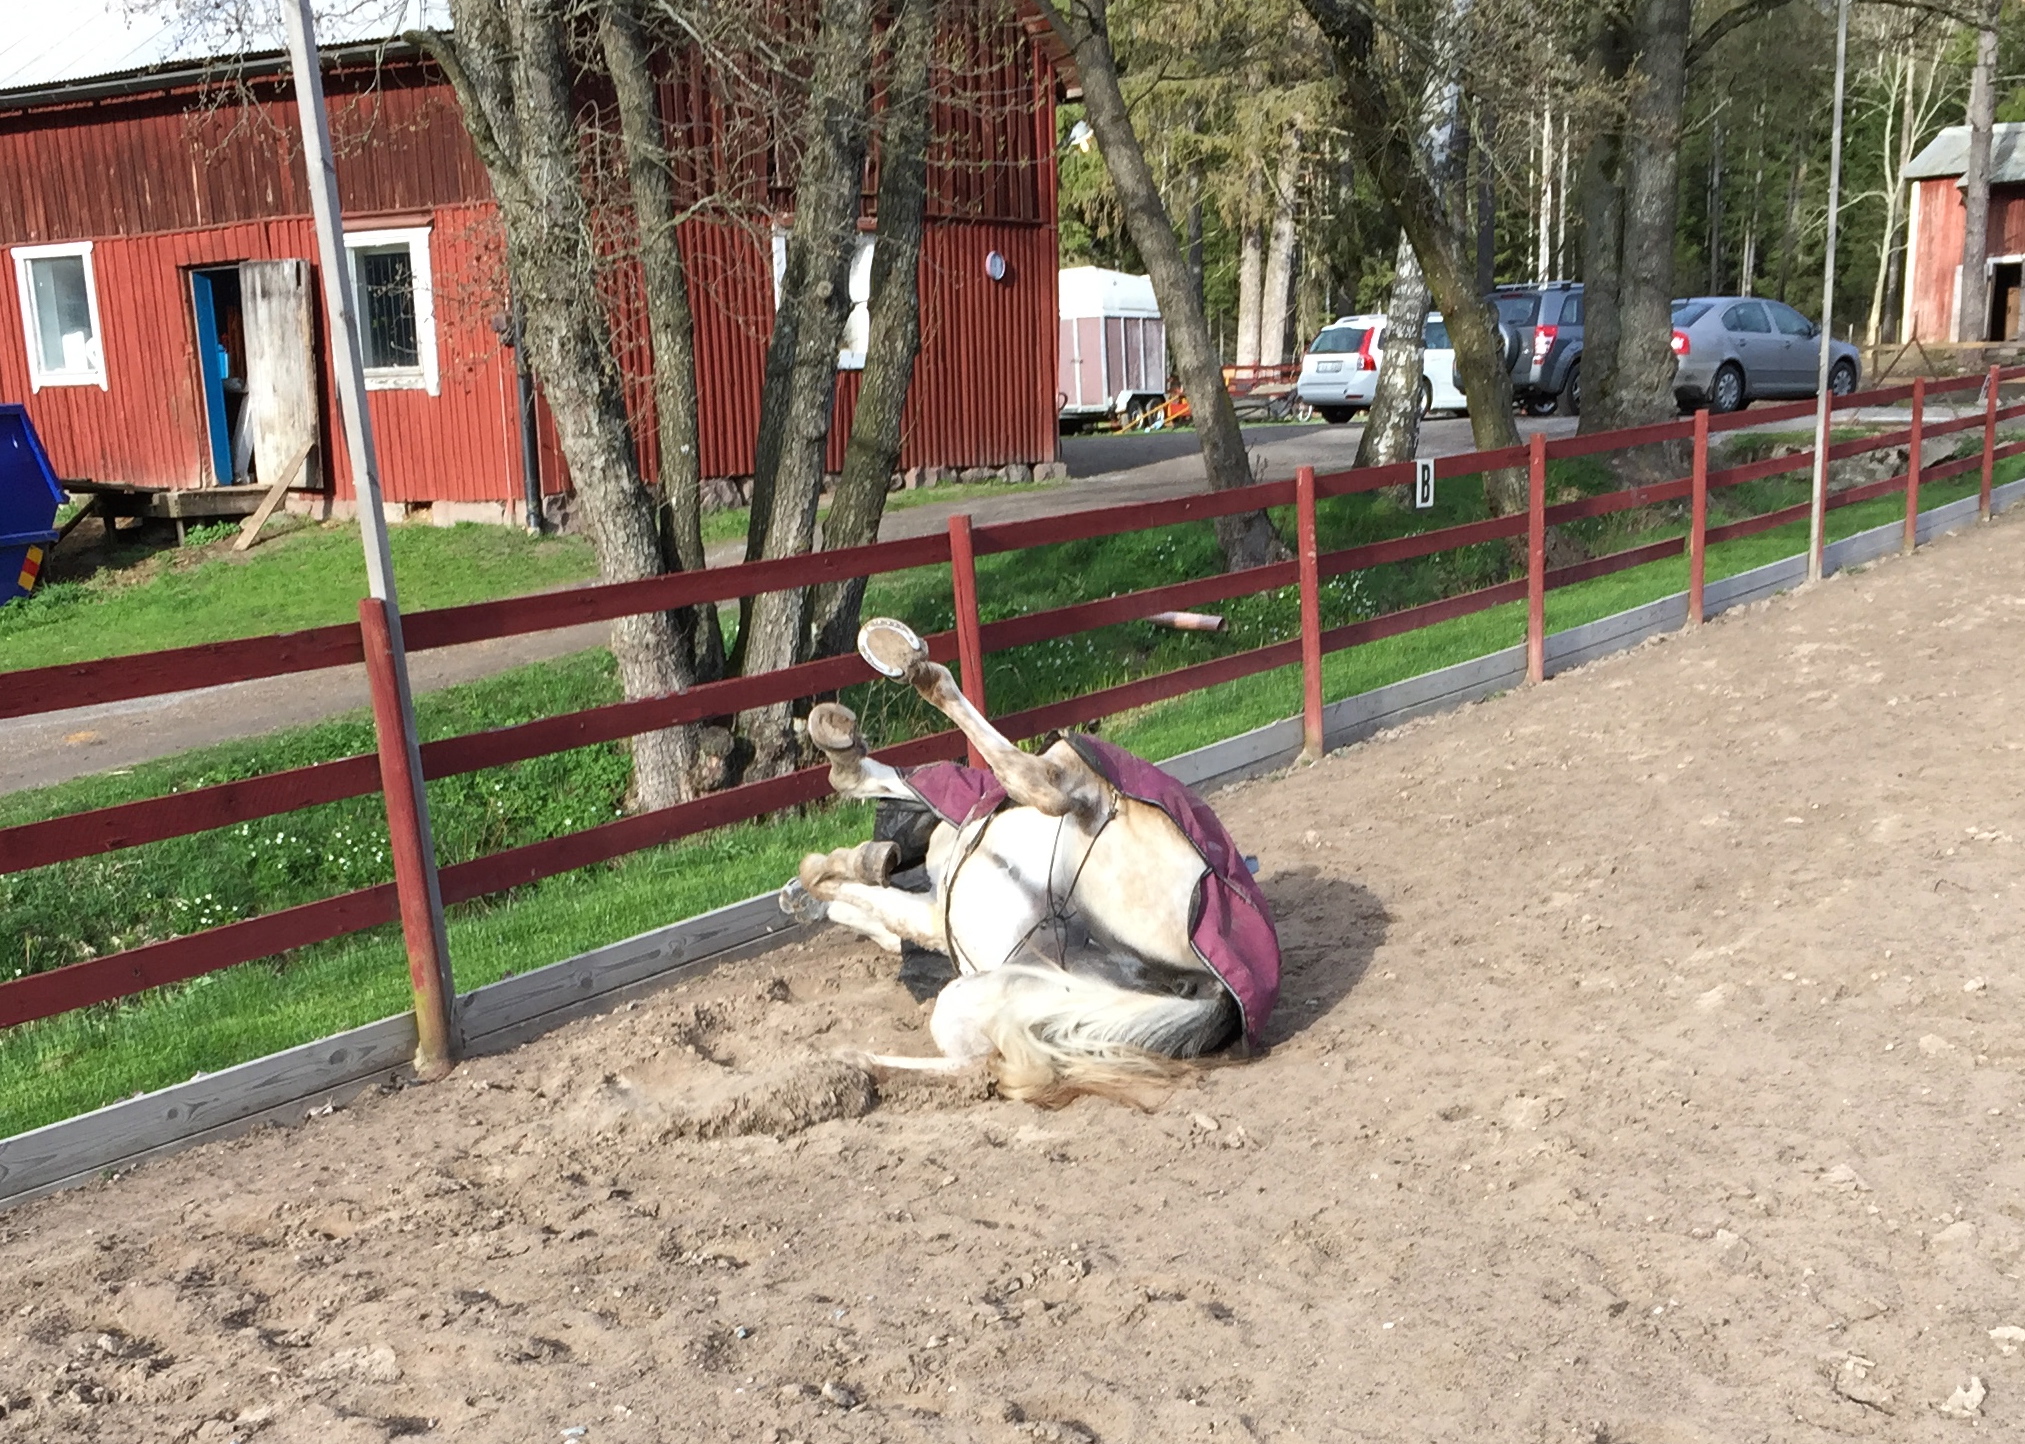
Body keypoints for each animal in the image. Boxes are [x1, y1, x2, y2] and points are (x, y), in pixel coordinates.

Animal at [777, 611, 1279, 1101]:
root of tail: (1213, 993)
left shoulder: (936, 900)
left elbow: (851, 847)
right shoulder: (934, 913)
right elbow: (858, 900)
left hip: (1083, 815)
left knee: (1042, 779)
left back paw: (925, 675)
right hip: (1018, 998)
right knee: (981, 1064)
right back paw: (855, 1063)